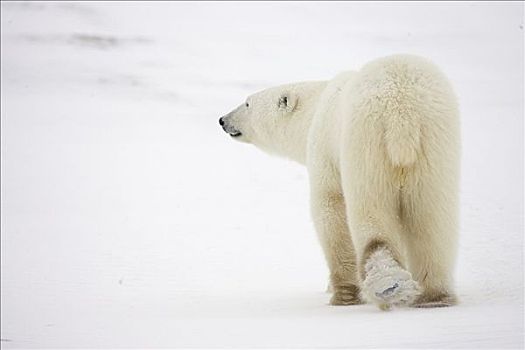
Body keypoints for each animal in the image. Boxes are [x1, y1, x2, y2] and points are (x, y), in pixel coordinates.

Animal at [219, 54, 456, 308]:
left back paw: (387, 285)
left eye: (247, 103)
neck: (315, 105)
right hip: (434, 144)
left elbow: (331, 208)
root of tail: (402, 111)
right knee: (432, 221)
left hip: (366, 144)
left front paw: (341, 292)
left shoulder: (324, 148)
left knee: (370, 214)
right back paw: (434, 297)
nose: (222, 120)